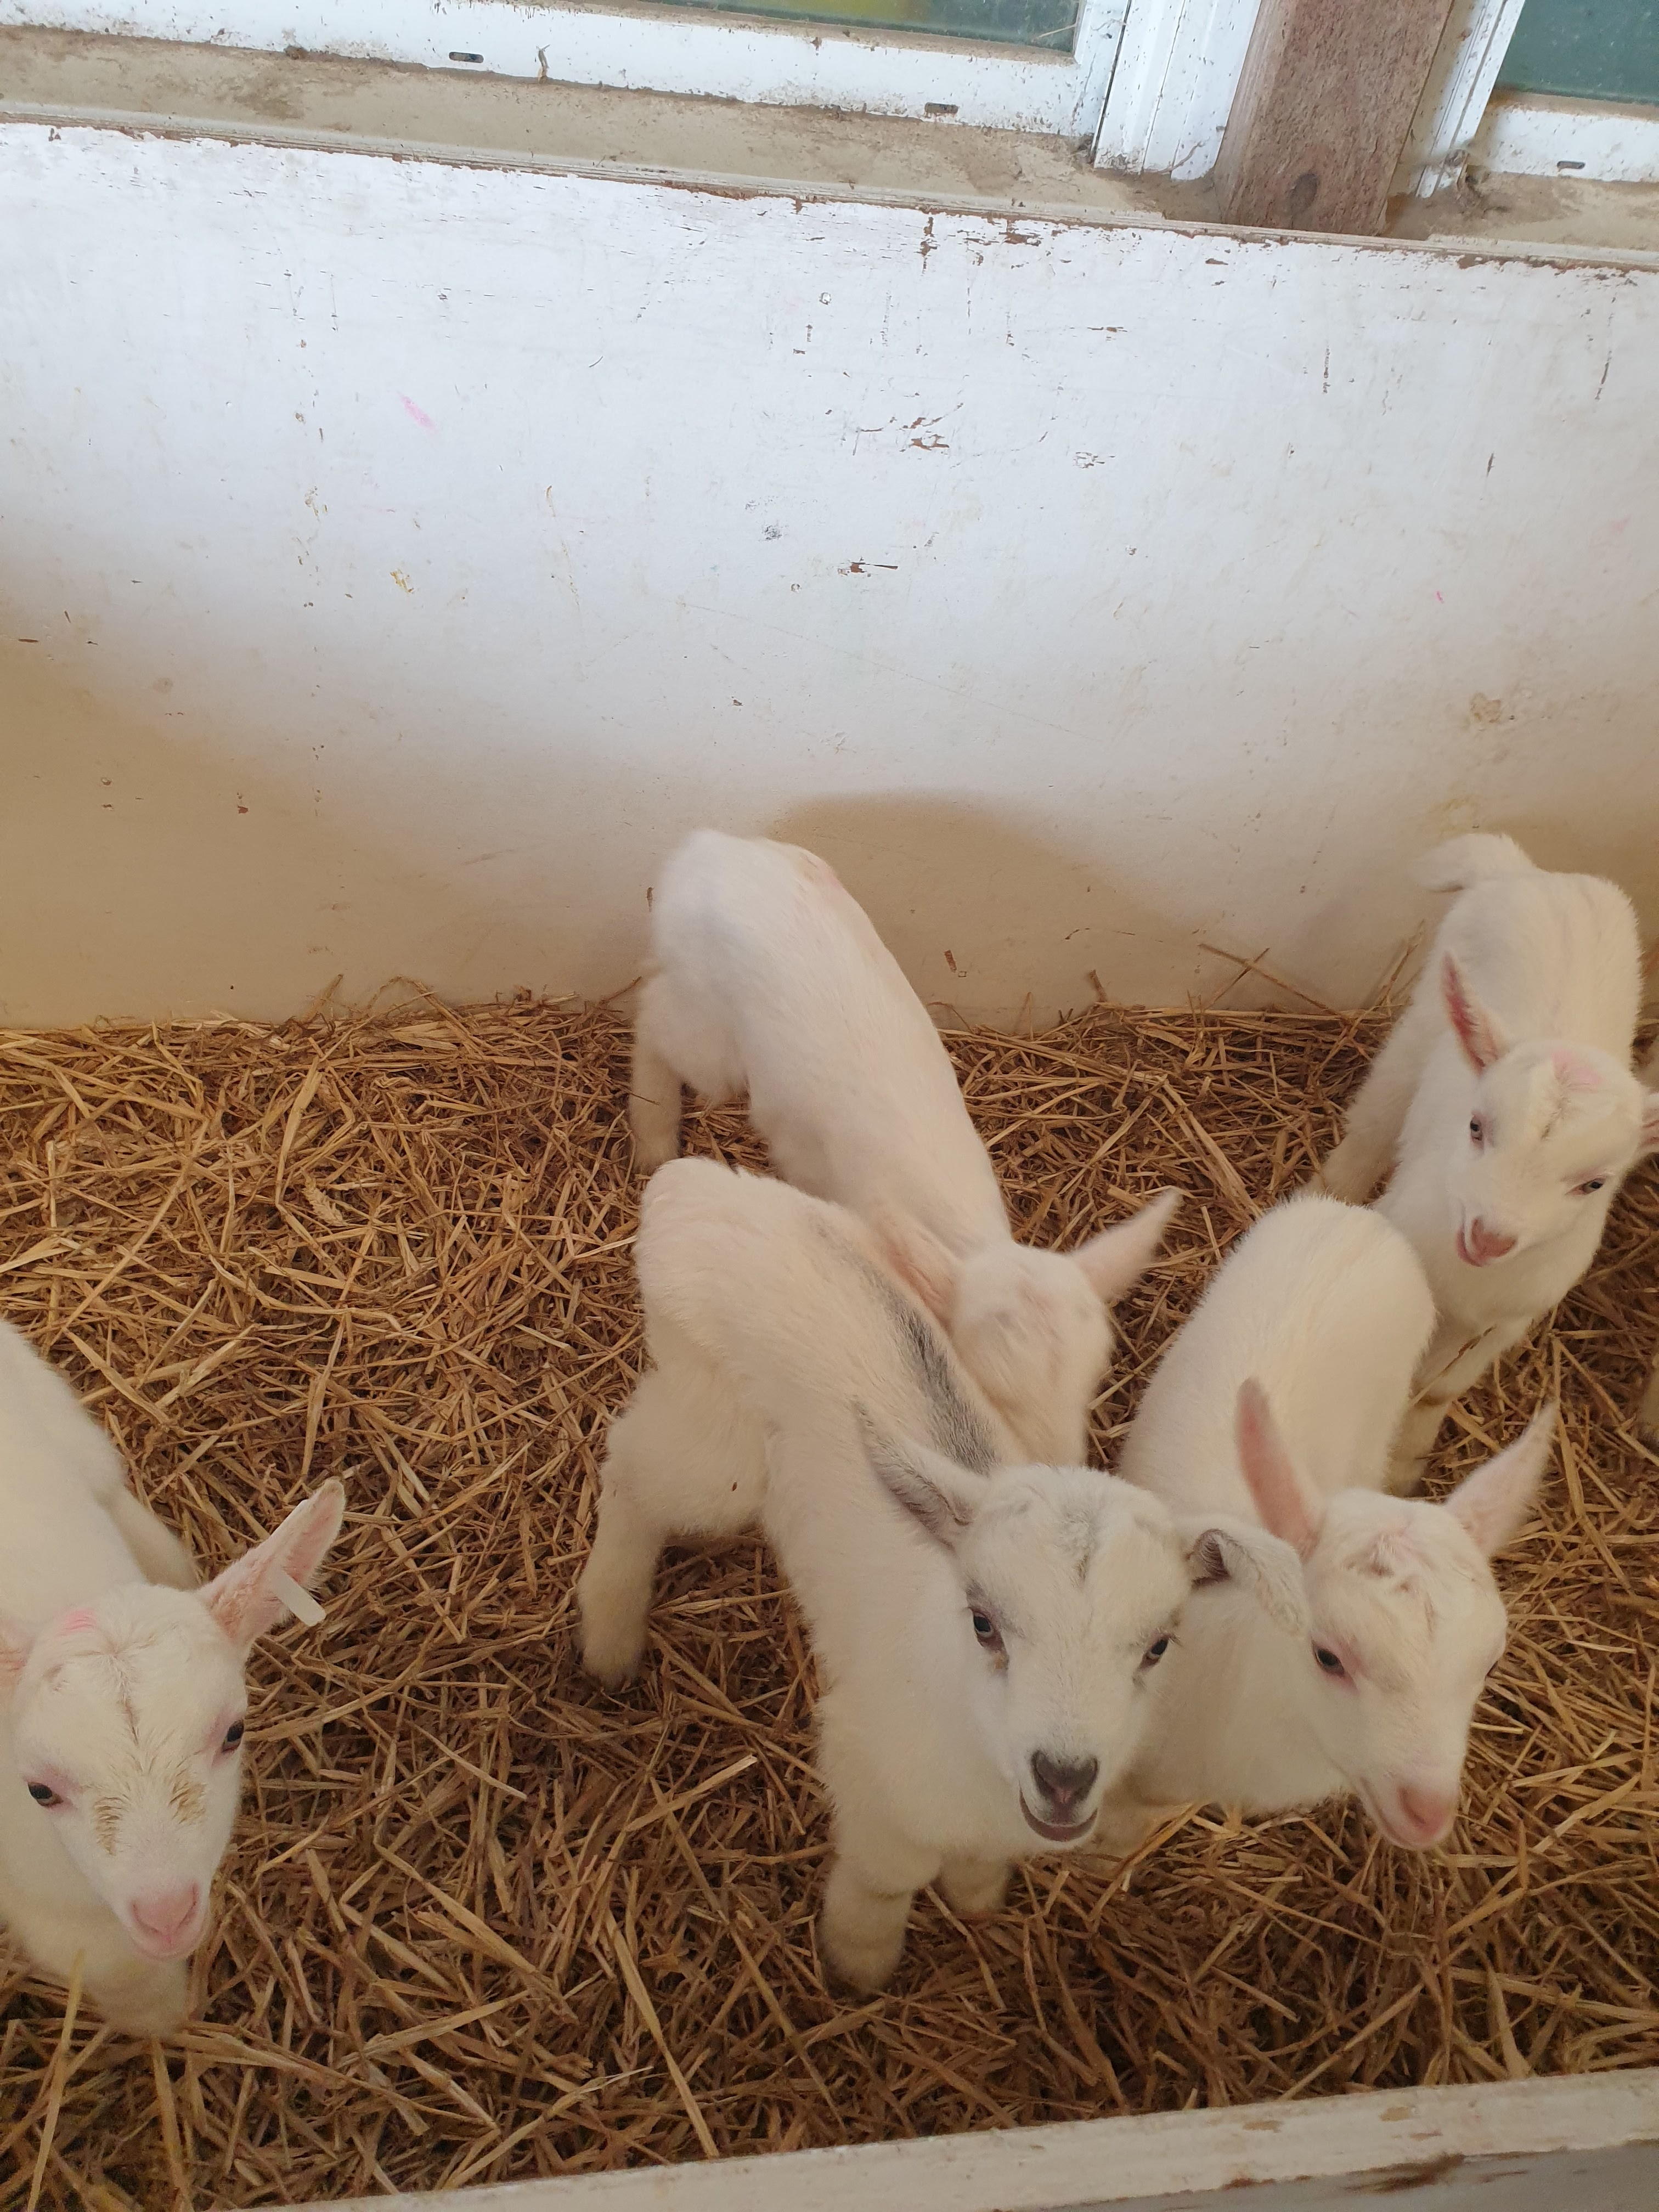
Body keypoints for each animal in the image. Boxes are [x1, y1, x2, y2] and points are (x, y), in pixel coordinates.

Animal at [576, 1158, 1306, 1990]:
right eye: (983, 1622)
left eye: (1158, 1646)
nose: (1064, 1776)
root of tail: (688, 1186)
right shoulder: (870, 1770)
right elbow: (885, 1879)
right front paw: (857, 1965)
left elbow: (979, 1864)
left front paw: (976, 1902)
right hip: (715, 1443)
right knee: (631, 1468)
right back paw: (609, 1638)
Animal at [628, 829, 1180, 1466]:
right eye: (986, 1387)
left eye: (1092, 1383)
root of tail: (707, 845)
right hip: (708, 1028)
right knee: (652, 1019)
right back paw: (652, 1135)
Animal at [1317, 833, 1657, 1484]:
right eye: (1475, 1128)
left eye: (1595, 1184)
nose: (1489, 1237)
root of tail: (1527, 872)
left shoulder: (1511, 1318)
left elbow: (1438, 1390)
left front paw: (1407, 1463)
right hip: (1421, 1022)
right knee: (1373, 1122)